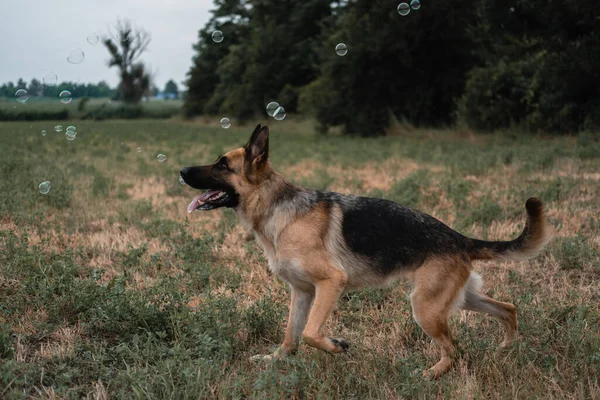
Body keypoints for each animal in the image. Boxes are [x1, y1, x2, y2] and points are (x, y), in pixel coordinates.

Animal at [180, 123, 552, 376]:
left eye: (223, 165)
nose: (181, 170)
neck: (276, 209)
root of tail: (459, 238)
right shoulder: (302, 292)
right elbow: (291, 335)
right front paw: (276, 360)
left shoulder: (331, 283)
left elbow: (311, 333)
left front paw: (336, 347)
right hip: (455, 299)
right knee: (508, 308)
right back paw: (506, 349)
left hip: (425, 308)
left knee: (454, 350)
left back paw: (428, 375)